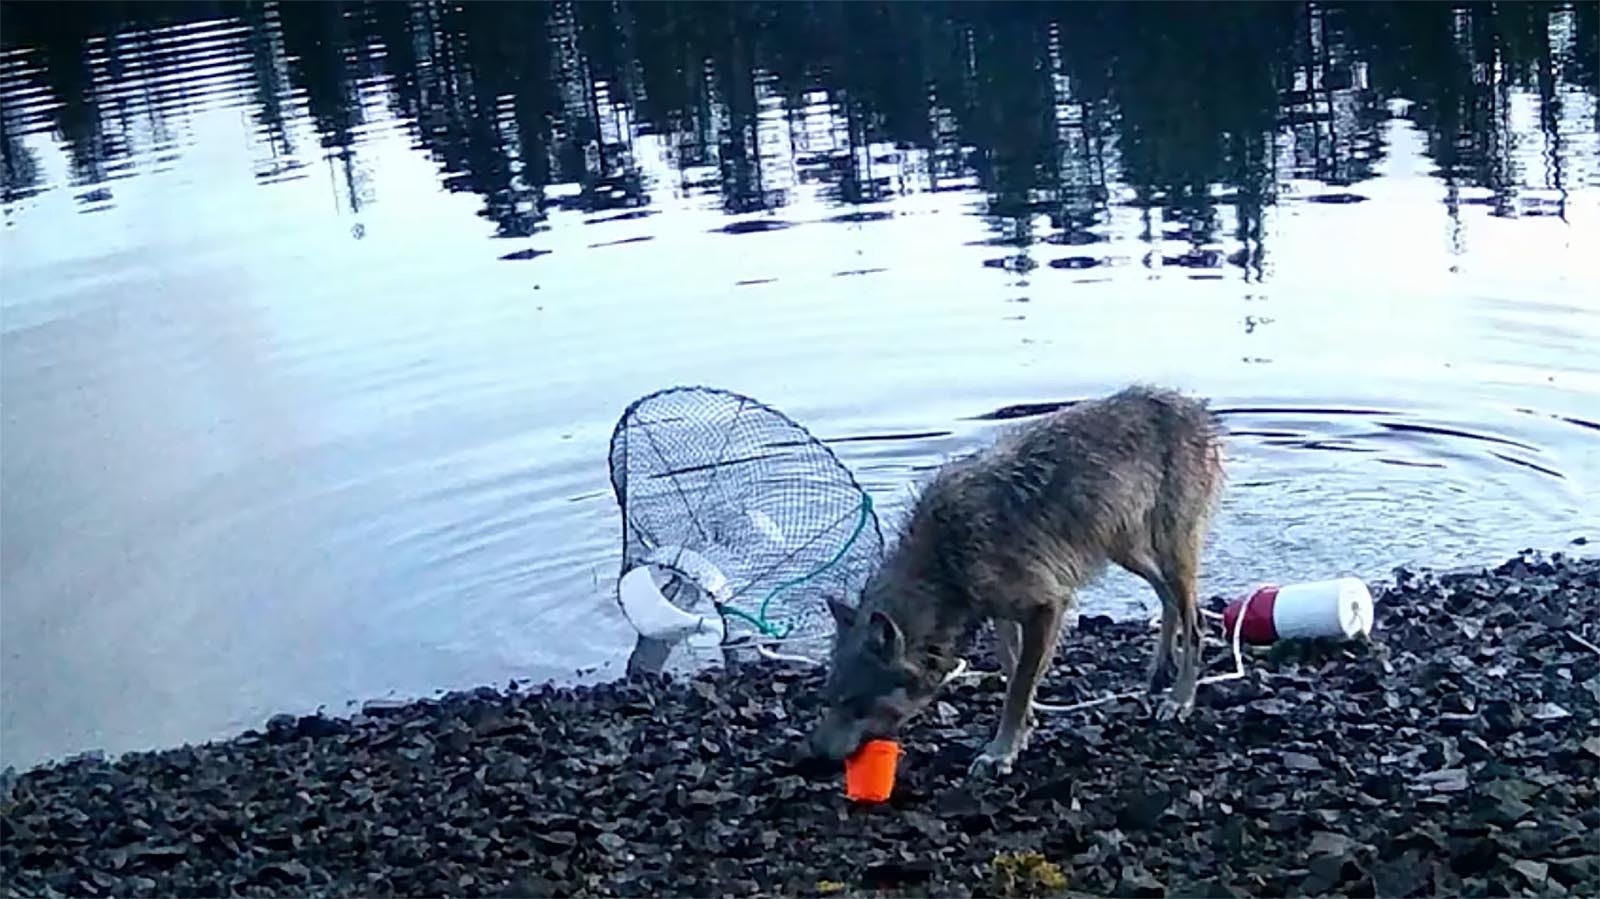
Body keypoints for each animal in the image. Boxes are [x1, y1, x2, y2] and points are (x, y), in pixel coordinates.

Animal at [808, 384, 1226, 775]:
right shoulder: (1003, 614)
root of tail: (1196, 407)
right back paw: (1158, 672)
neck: (944, 562)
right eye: (828, 699)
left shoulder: (1048, 606)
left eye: (854, 703)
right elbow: (1012, 670)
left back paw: (1179, 699)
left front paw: (1000, 752)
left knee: (1196, 622)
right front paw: (1024, 731)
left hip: (1170, 553)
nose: (813, 757)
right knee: (1167, 599)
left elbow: (1019, 686)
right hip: (1127, 551)